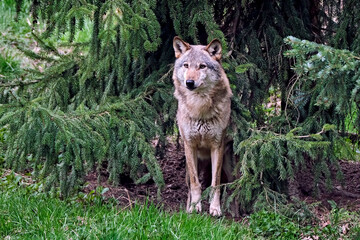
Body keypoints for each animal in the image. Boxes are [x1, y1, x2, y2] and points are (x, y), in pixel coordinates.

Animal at [172, 37, 233, 216]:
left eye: (202, 66)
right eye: (186, 65)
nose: (189, 82)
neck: (199, 106)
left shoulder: (217, 146)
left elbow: (215, 183)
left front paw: (215, 208)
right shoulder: (189, 145)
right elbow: (195, 183)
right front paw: (194, 207)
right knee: (189, 185)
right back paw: (188, 206)